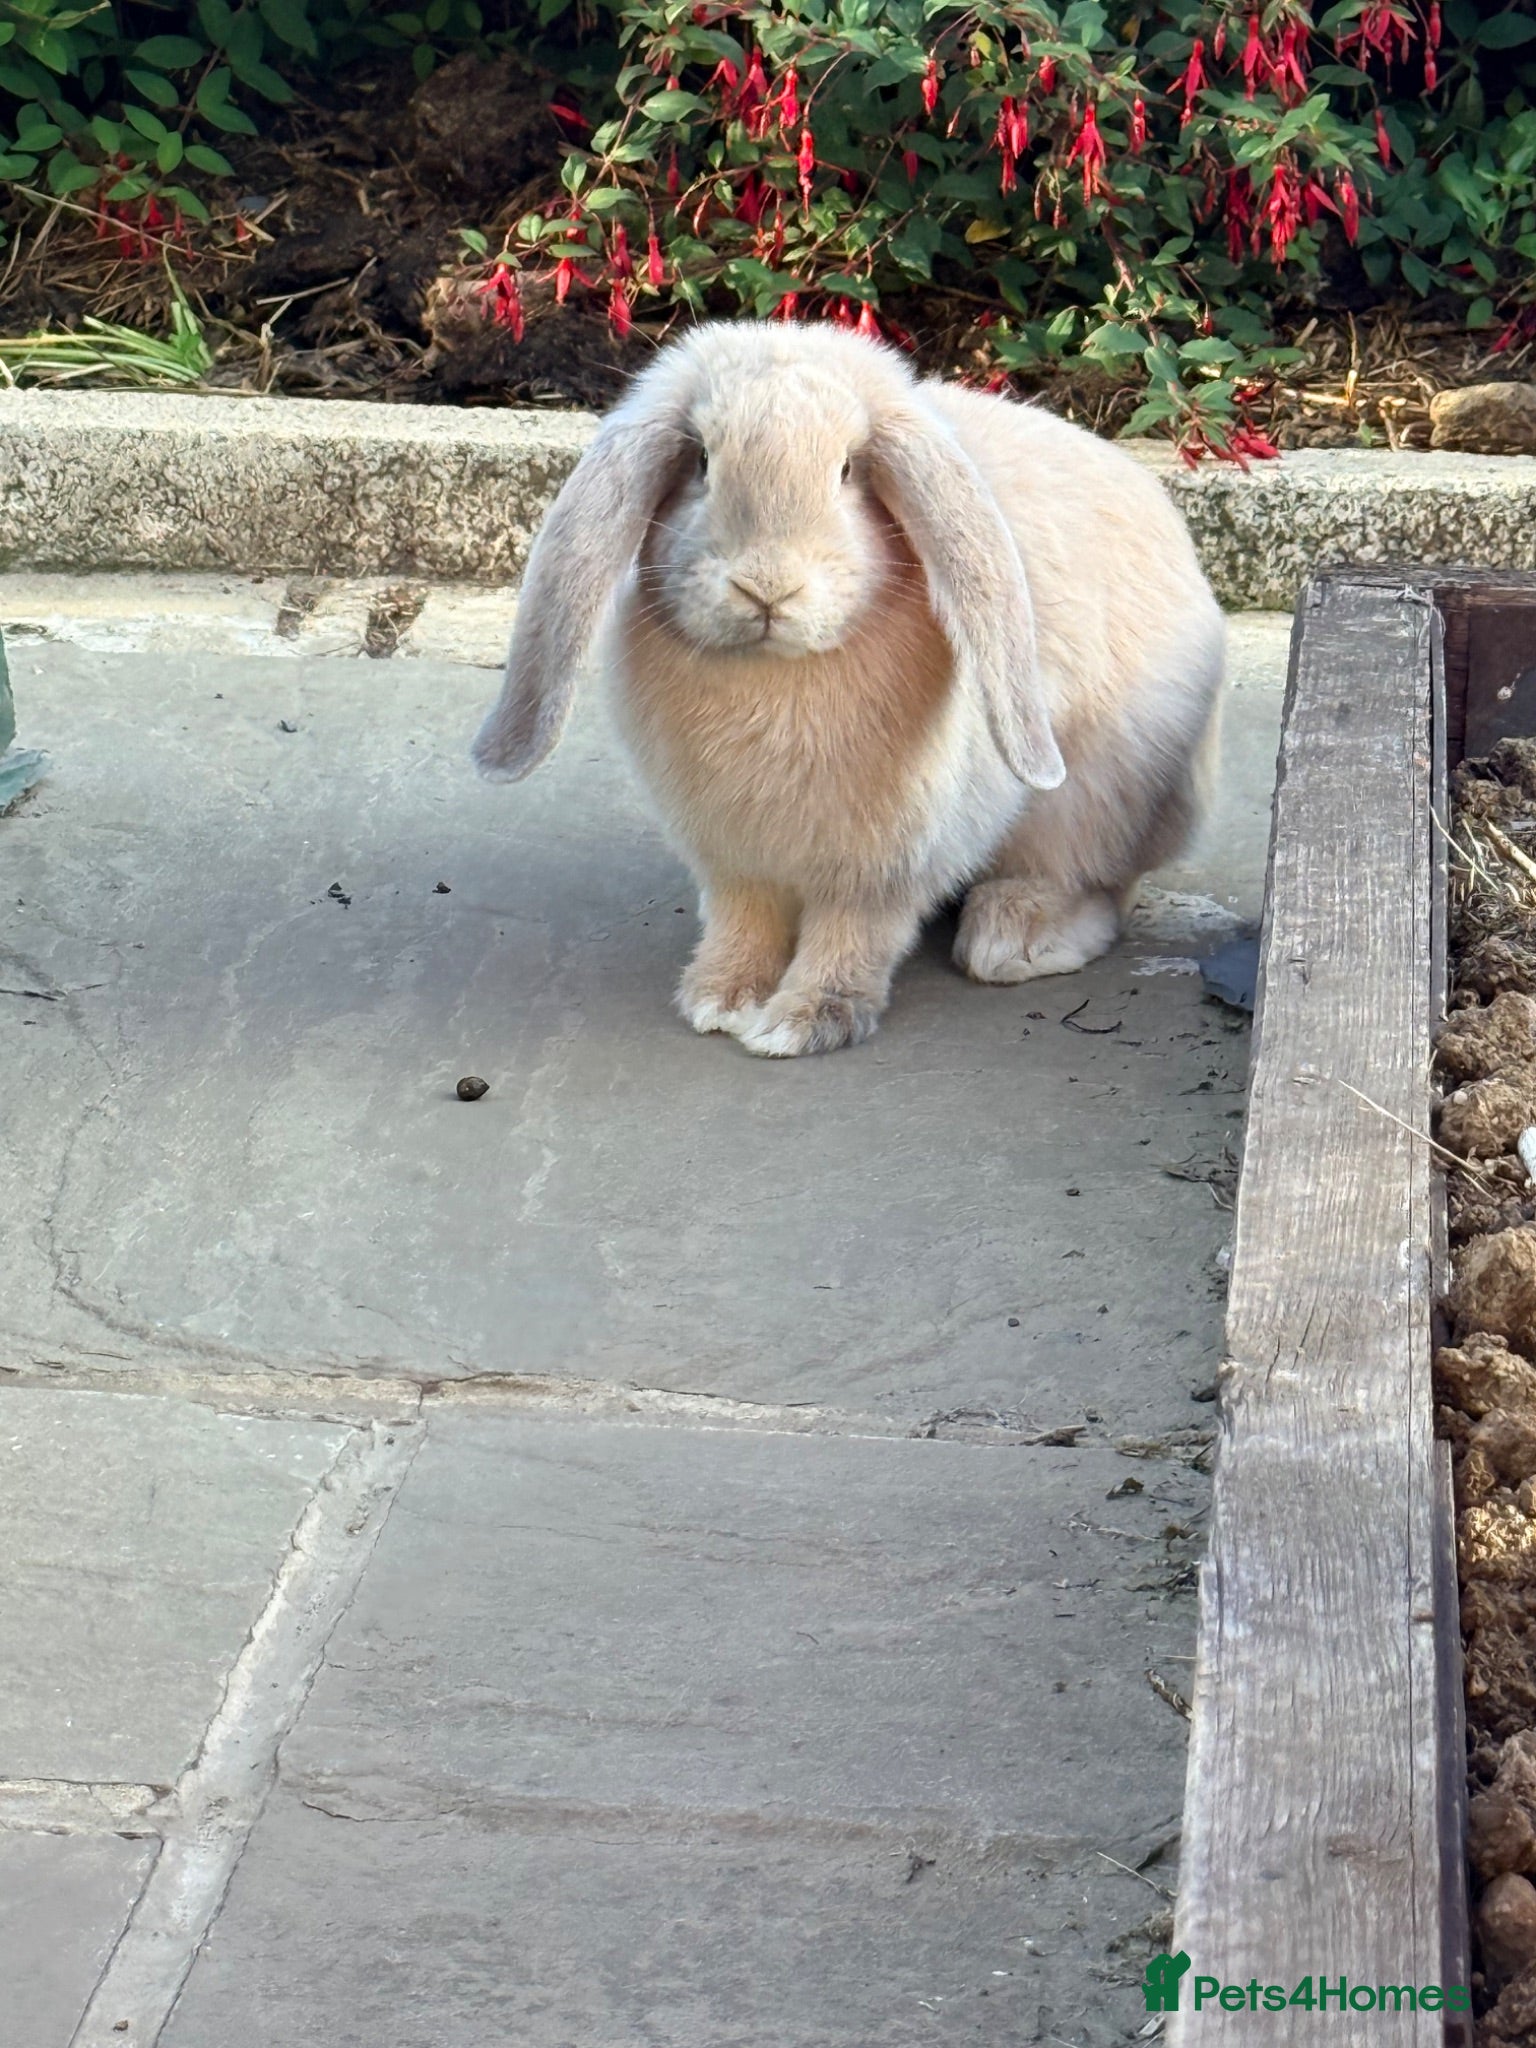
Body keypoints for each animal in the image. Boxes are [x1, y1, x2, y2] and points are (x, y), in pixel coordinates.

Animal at [472, 320, 1224, 1058]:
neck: (779, 671)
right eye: (703, 463)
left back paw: (1014, 936)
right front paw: (722, 997)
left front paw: (803, 1021)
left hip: (1094, 799)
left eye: (844, 471)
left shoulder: (883, 865)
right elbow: (745, 921)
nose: (767, 586)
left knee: (1099, 883)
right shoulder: (736, 859)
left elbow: (853, 934)